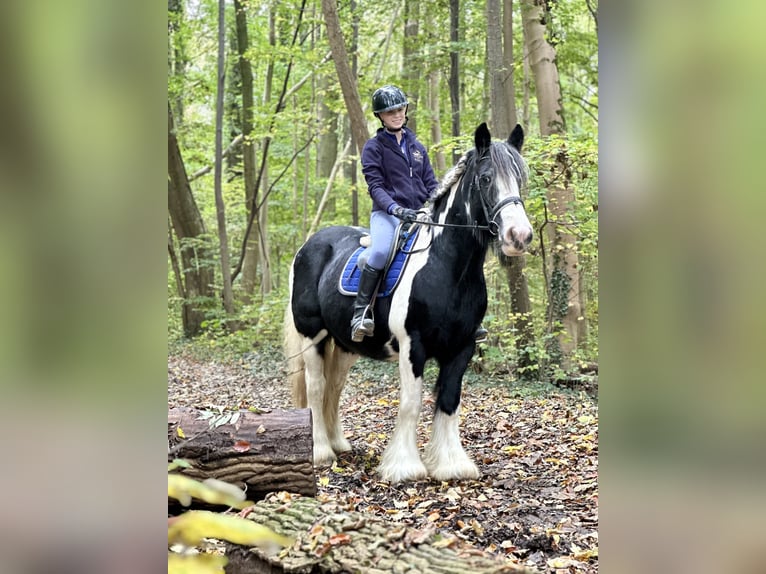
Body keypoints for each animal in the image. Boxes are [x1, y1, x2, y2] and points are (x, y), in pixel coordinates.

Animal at [284, 122, 536, 486]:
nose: (519, 236)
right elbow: (411, 403)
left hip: (344, 346)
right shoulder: (411, 346)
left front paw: (451, 464)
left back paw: (338, 443)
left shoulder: (462, 347)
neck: (448, 268)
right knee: (316, 388)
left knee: (334, 387)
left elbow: (449, 401)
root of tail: (309, 246)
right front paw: (404, 467)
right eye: (487, 178)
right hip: (312, 336)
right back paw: (320, 451)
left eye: (520, 177)